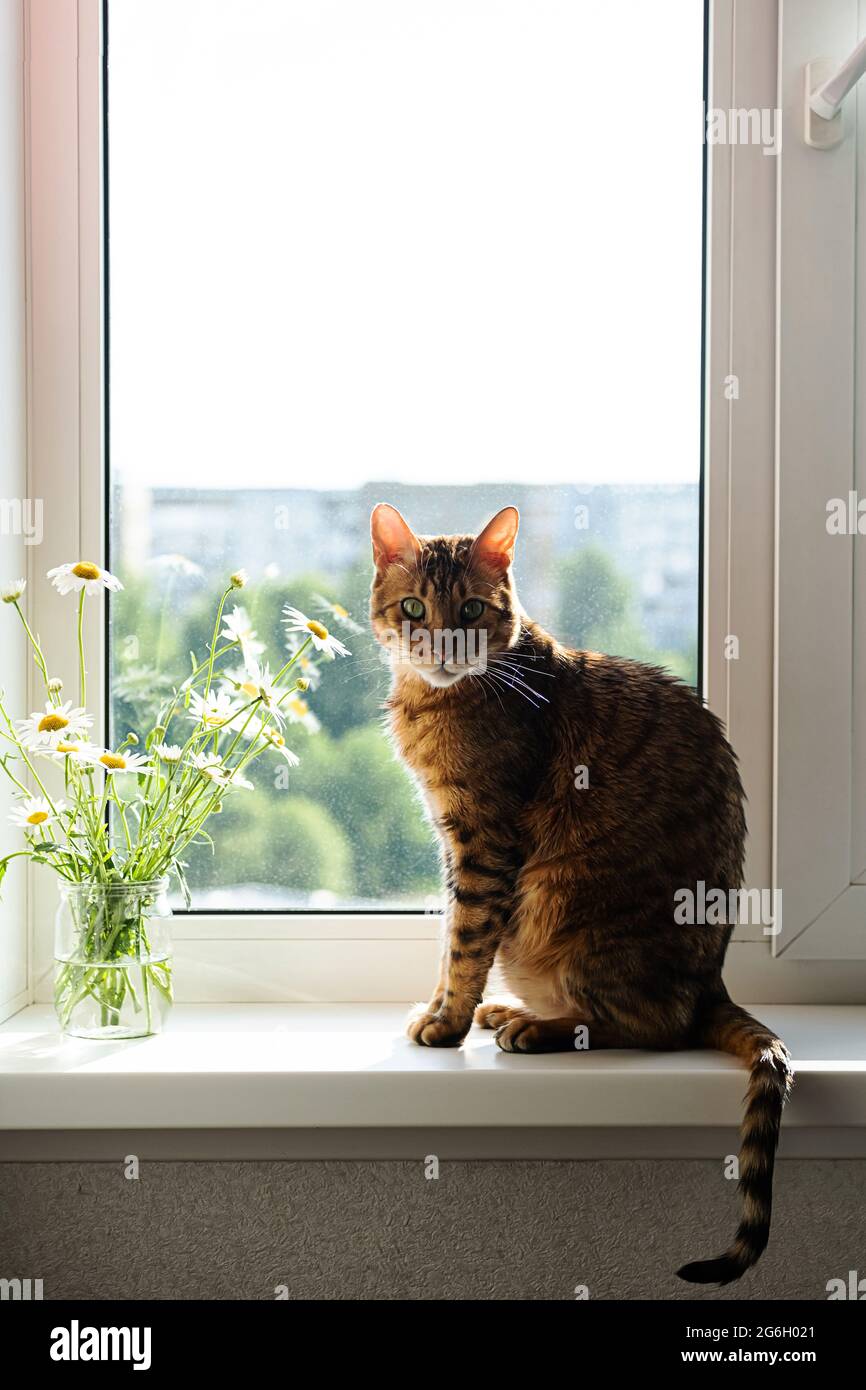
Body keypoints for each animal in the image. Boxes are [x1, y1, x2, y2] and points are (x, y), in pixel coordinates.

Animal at [369, 497, 795, 1278]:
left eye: (471, 610)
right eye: (414, 607)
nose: (442, 646)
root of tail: (712, 984)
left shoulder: (484, 843)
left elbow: (464, 942)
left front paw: (446, 1024)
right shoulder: (454, 842)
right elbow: (451, 943)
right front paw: (446, 1009)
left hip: (574, 908)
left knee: (652, 1026)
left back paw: (536, 1029)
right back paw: (513, 1013)